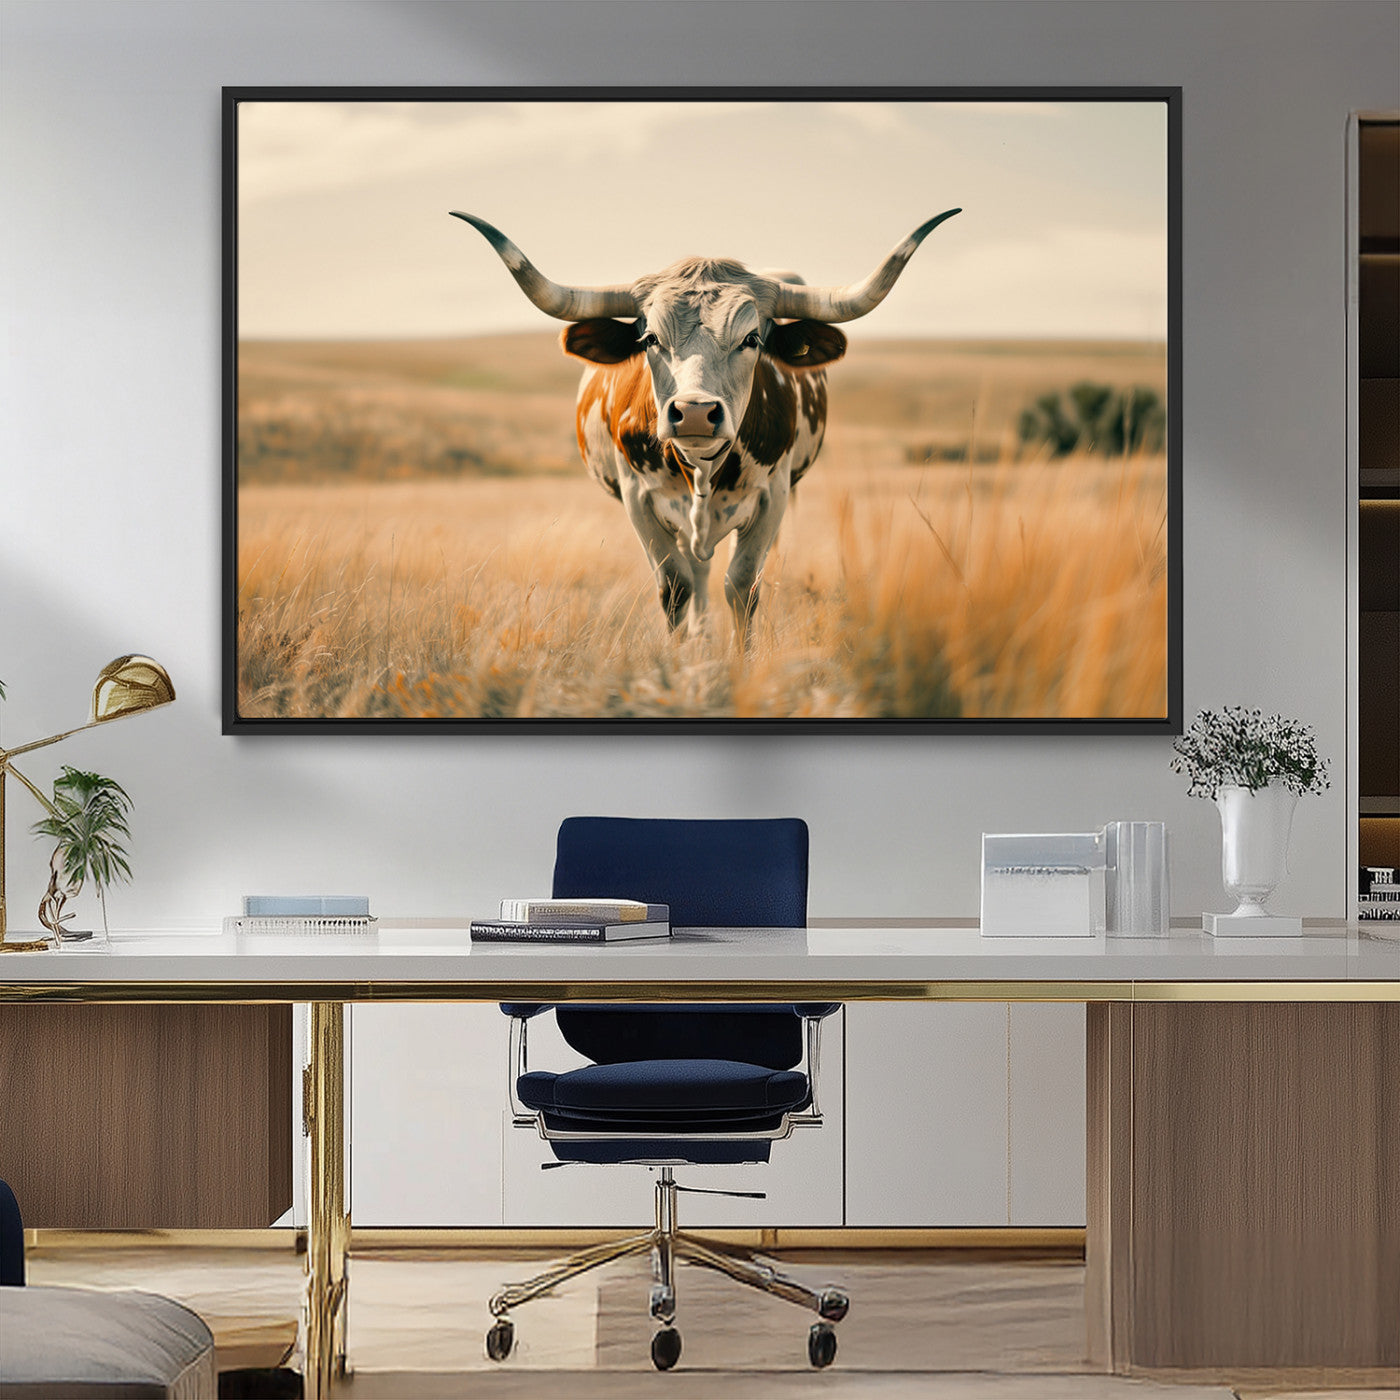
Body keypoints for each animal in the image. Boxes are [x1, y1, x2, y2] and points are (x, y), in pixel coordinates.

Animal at [451, 209, 960, 644]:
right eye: (649, 338)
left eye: (752, 338)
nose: (694, 412)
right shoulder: (638, 499)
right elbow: (675, 586)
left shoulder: (772, 497)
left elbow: (742, 586)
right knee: (694, 573)